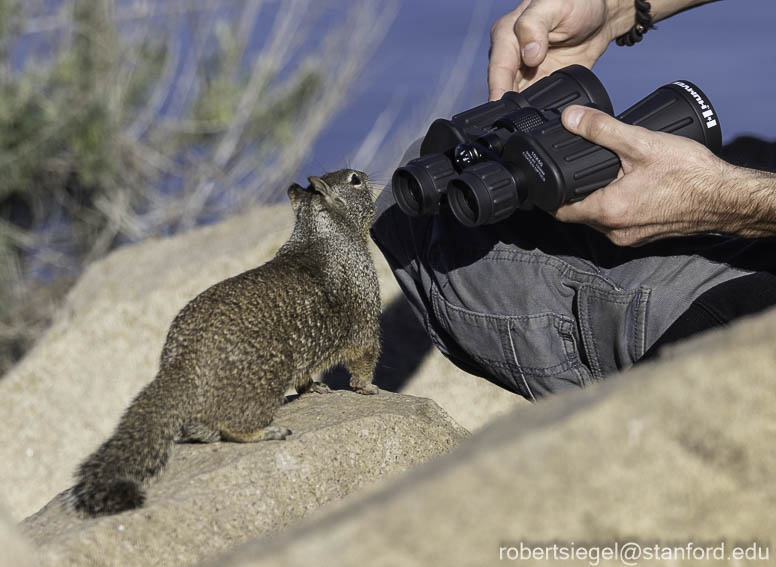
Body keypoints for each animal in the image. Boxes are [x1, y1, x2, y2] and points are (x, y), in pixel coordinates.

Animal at [71, 170, 380, 520]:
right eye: (354, 179)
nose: (367, 176)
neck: (320, 233)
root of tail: (182, 363)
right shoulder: (365, 309)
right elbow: (364, 354)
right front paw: (368, 387)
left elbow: (307, 375)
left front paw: (314, 387)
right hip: (262, 385)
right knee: (234, 428)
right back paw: (268, 432)